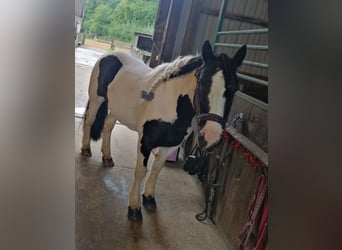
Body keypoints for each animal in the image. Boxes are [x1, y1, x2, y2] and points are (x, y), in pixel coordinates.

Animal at [80, 41, 246, 221]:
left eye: (234, 88)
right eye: (201, 81)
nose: (211, 137)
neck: (171, 104)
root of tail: (108, 55)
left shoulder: (171, 145)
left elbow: (157, 168)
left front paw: (149, 198)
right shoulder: (145, 142)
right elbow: (141, 171)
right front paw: (134, 207)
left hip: (117, 109)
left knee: (108, 125)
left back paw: (107, 157)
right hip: (96, 100)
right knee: (89, 121)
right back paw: (86, 149)